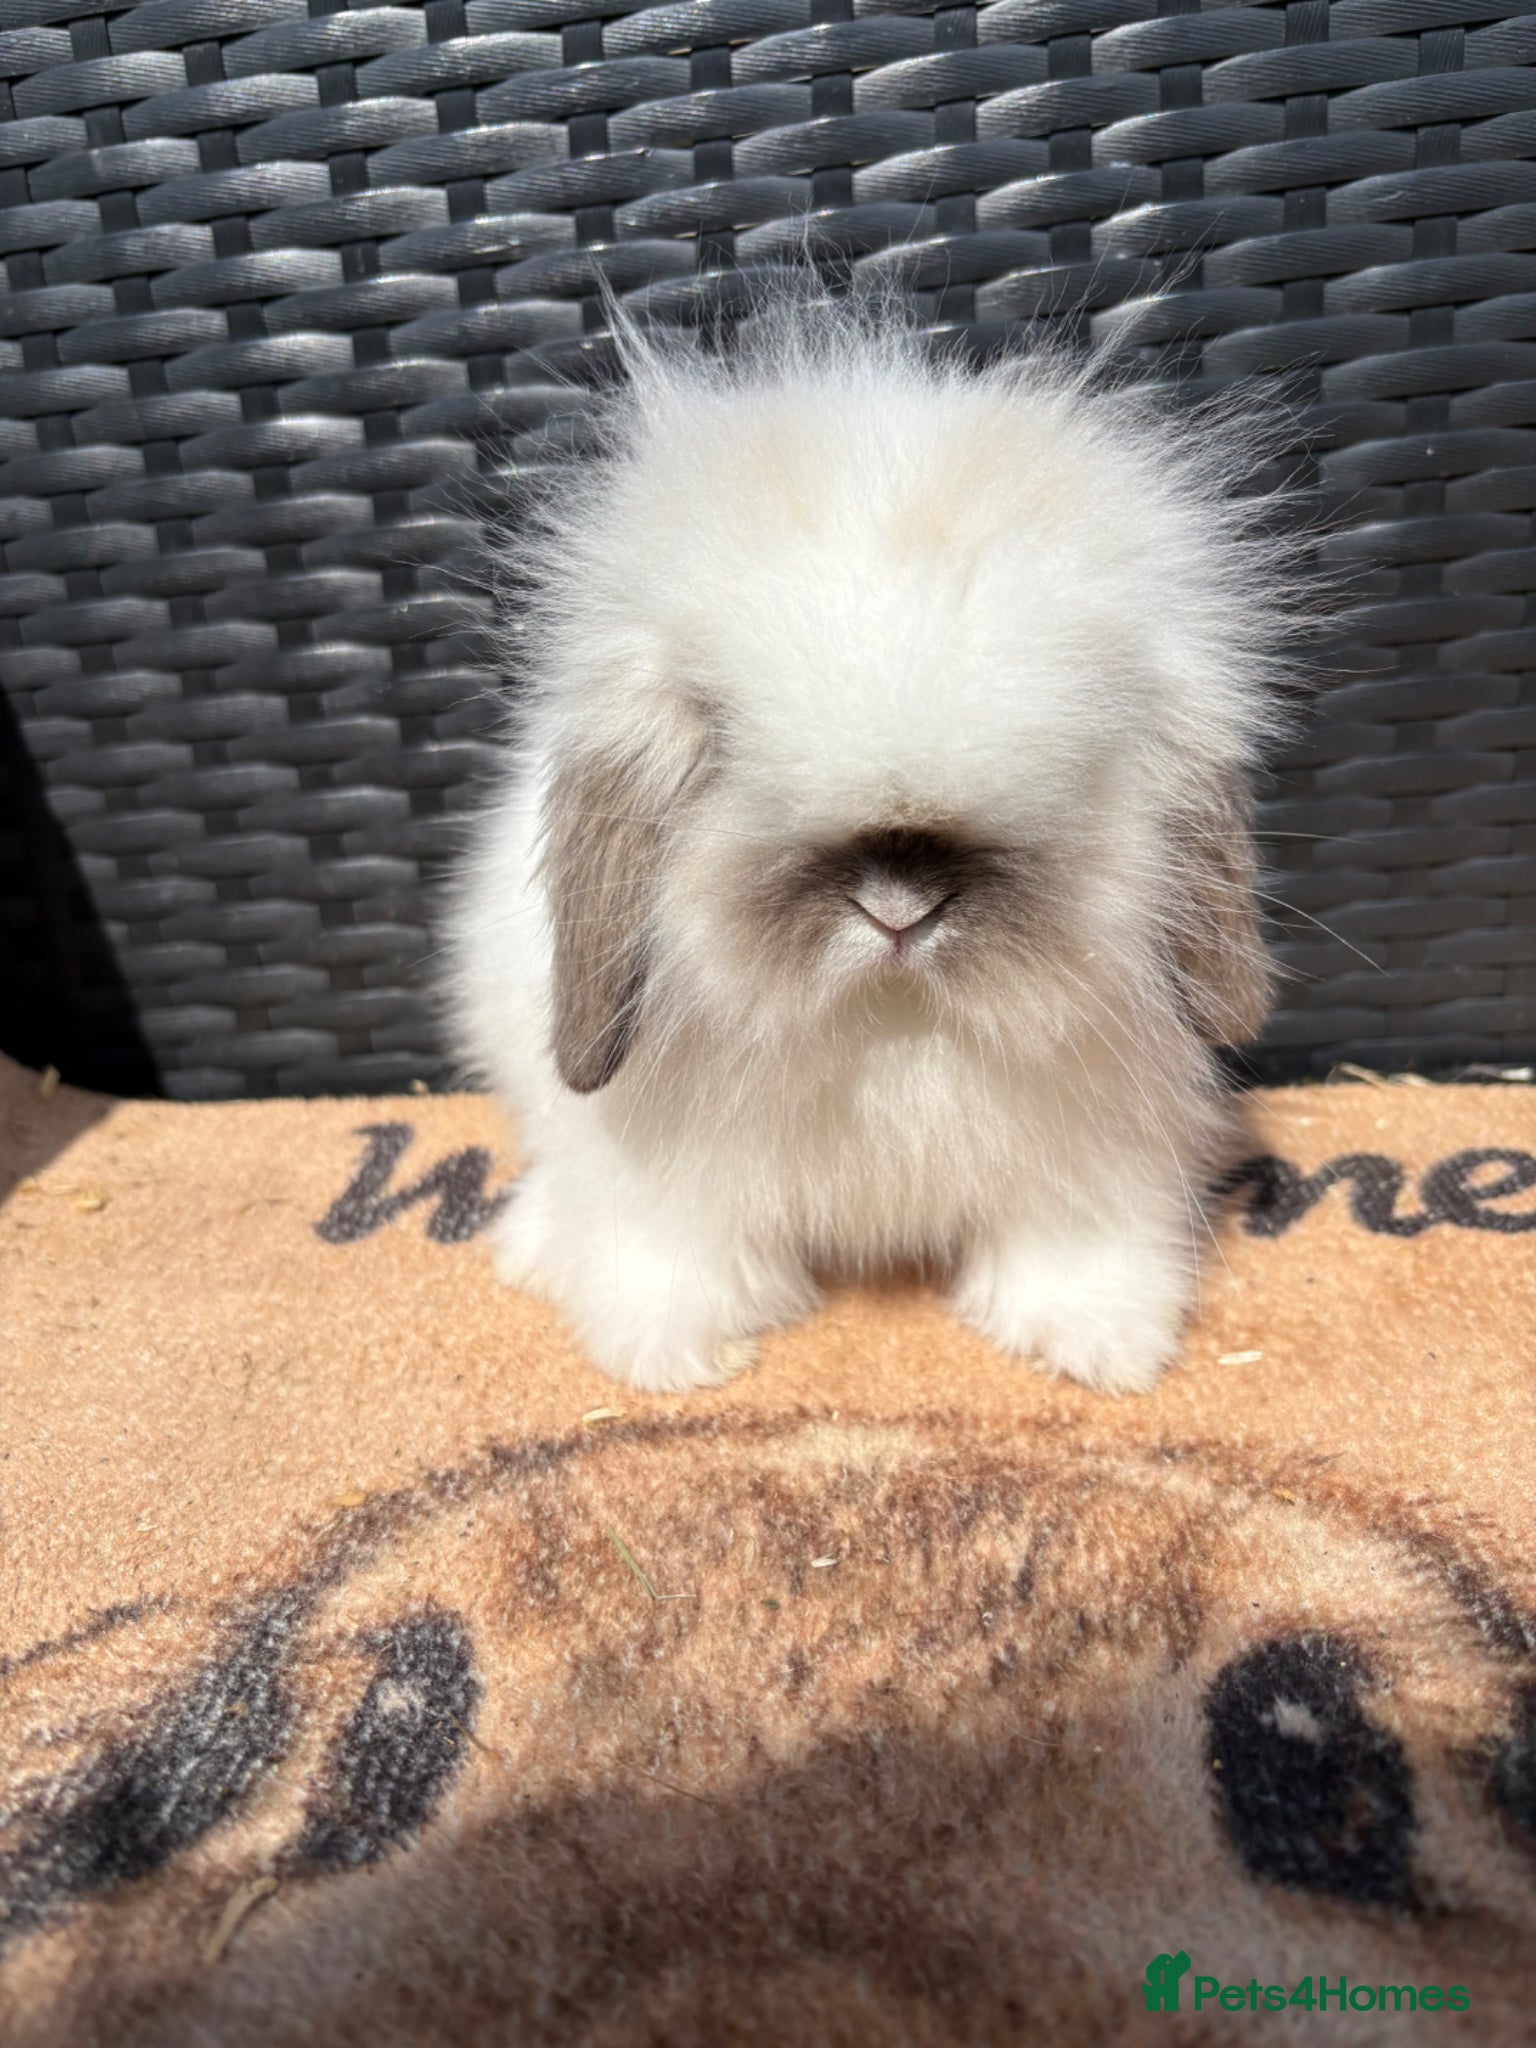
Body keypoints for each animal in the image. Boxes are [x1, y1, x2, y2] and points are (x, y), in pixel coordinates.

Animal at [443, 280, 1296, 1396]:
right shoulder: (664, 1181)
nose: (899, 908)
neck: (890, 1022)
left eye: (1077, 741)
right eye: (720, 741)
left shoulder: (1096, 1158)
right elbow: (672, 1248)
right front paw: (672, 1352)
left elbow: (1075, 1242)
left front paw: (1096, 1340)